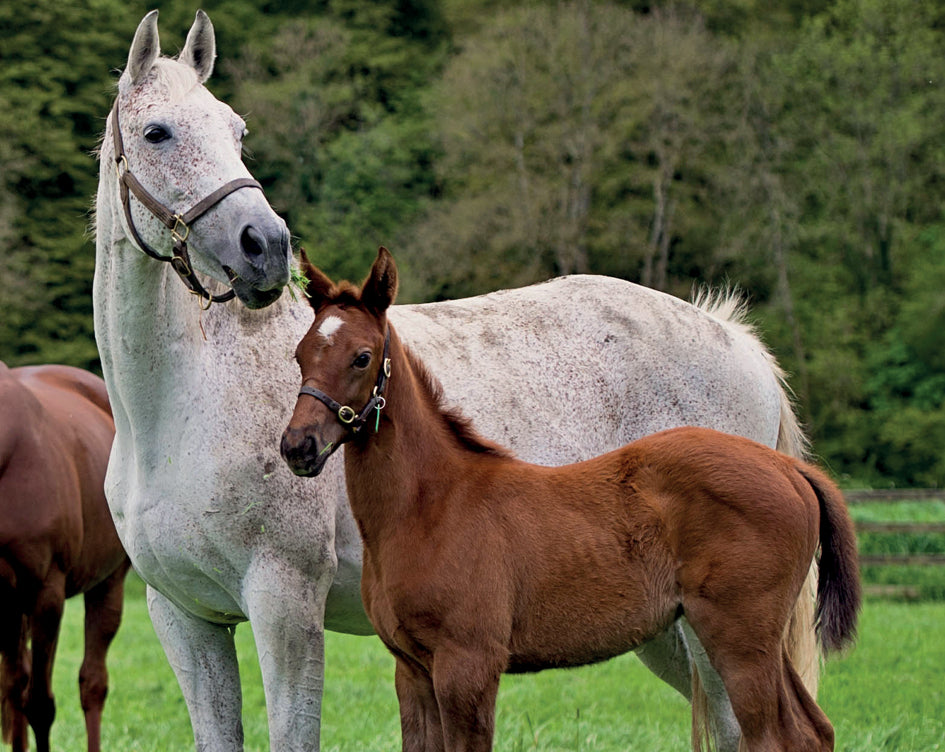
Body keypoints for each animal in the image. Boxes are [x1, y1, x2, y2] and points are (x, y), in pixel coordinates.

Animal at [0, 363, 130, 752]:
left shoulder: (47, 595)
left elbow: (40, 706)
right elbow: (17, 692)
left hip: (108, 583)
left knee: (93, 684)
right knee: (16, 684)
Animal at [280, 247, 862, 752]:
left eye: (362, 357)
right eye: (301, 353)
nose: (297, 446)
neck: (431, 504)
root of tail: (790, 469)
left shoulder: (468, 664)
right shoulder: (413, 668)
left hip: (739, 639)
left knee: (774, 735)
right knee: (814, 730)